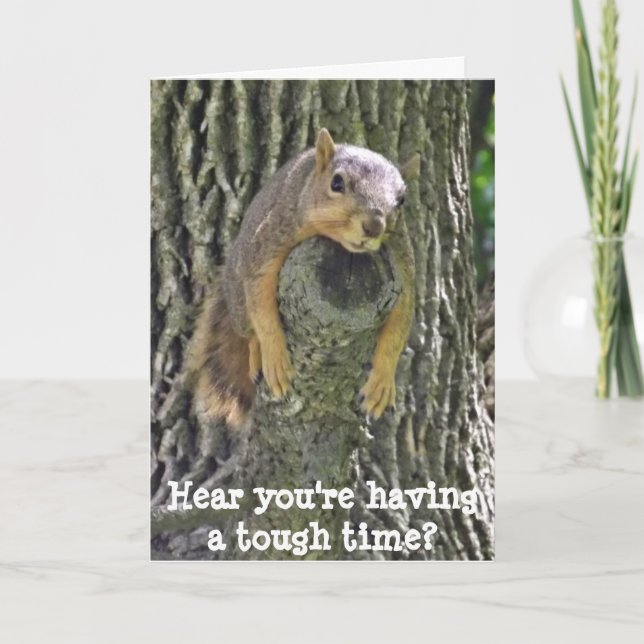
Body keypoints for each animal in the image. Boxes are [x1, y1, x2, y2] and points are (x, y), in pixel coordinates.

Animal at [188, 128, 420, 428]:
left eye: (401, 200)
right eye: (336, 183)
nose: (374, 226)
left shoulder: (402, 266)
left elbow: (398, 329)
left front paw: (382, 382)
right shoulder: (271, 240)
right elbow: (261, 305)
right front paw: (275, 356)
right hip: (238, 299)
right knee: (248, 328)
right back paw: (256, 352)